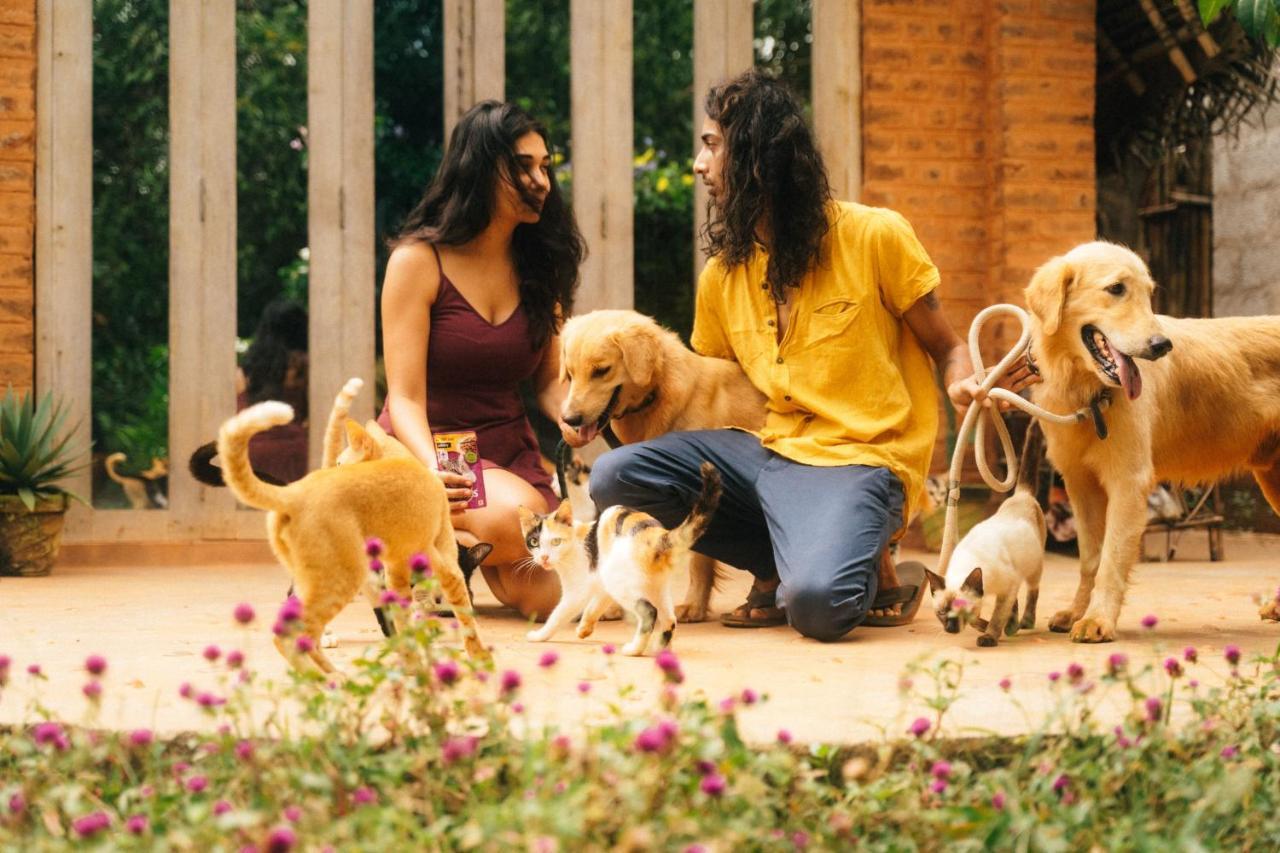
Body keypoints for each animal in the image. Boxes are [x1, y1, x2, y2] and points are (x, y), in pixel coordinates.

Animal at [217, 389, 486, 671]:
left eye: (339, 462)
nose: (329, 468)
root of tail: (291, 494)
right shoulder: (443, 561)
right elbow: (463, 611)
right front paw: (478, 657)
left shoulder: (397, 574)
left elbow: (403, 621)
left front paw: (414, 662)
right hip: (343, 576)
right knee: (292, 636)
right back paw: (325, 677)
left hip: (316, 577)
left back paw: (332, 675)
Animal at [517, 461, 721, 653]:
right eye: (534, 542)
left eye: (556, 542)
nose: (544, 557)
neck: (576, 540)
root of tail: (657, 536)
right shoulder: (602, 586)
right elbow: (594, 606)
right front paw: (584, 629)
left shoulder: (577, 591)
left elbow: (558, 614)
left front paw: (539, 635)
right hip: (655, 586)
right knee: (670, 619)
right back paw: (661, 650)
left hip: (622, 583)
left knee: (650, 612)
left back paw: (634, 650)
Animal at [558, 307, 757, 617]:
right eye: (570, 373)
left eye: (601, 371)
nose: (570, 420)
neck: (654, 397)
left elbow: (699, 558)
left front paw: (694, 605)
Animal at [926, 417, 1044, 645]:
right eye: (942, 613)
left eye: (960, 612)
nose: (951, 630)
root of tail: (1021, 493)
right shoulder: (1005, 589)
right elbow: (987, 616)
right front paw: (987, 627)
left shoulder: (1009, 585)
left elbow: (999, 615)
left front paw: (992, 635)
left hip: (1034, 568)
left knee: (1033, 592)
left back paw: (1026, 622)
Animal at [1024, 239, 1280, 637]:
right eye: (1116, 289)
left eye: (1148, 294)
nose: (1162, 345)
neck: (1090, 392)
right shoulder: (1080, 484)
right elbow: (1090, 559)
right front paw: (1077, 612)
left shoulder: (1128, 481)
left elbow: (1112, 558)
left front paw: (1097, 620)